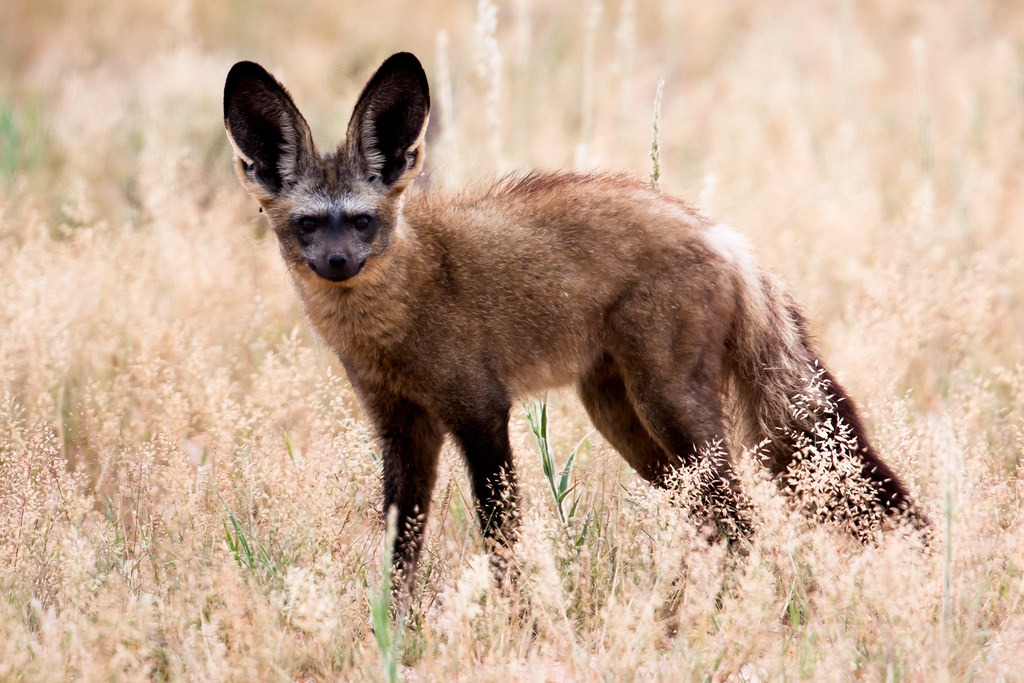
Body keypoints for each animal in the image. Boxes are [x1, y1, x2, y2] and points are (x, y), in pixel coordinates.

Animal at [224, 52, 929, 602]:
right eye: (308, 225)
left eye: (363, 221)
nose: (338, 263)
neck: (392, 328)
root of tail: (723, 236)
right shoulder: (402, 428)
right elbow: (401, 556)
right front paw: (396, 635)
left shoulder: (479, 412)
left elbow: (502, 543)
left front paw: (520, 628)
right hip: (628, 426)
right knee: (712, 522)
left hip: (671, 411)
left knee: (739, 520)